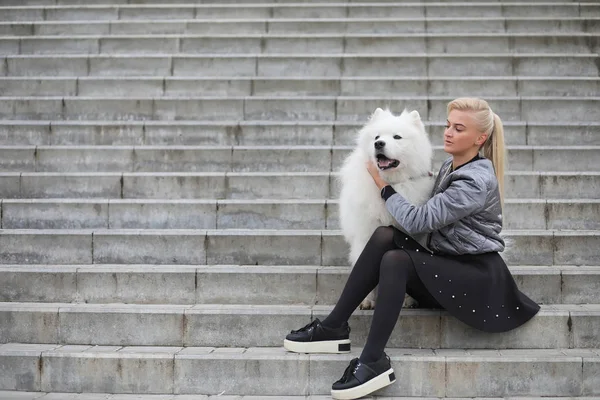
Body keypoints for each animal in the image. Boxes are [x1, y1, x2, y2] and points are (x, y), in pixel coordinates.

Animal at [340, 108, 434, 310]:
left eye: (397, 137)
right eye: (377, 137)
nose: (379, 144)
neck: (392, 184)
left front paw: (408, 299)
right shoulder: (366, 234)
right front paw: (367, 301)